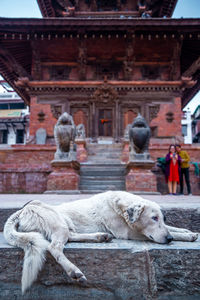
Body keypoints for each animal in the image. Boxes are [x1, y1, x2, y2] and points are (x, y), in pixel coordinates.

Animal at [3, 191, 198, 294]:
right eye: (153, 218)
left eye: (161, 218)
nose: (169, 240)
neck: (119, 206)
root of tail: (21, 211)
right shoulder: (128, 232)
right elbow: (169, 232)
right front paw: (184, 236)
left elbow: (173, 228)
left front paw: (189, 232)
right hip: (57, 223)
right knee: (54, 247)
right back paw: (74, 272)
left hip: (65, 226)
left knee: (70, 237)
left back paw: (100, 237)